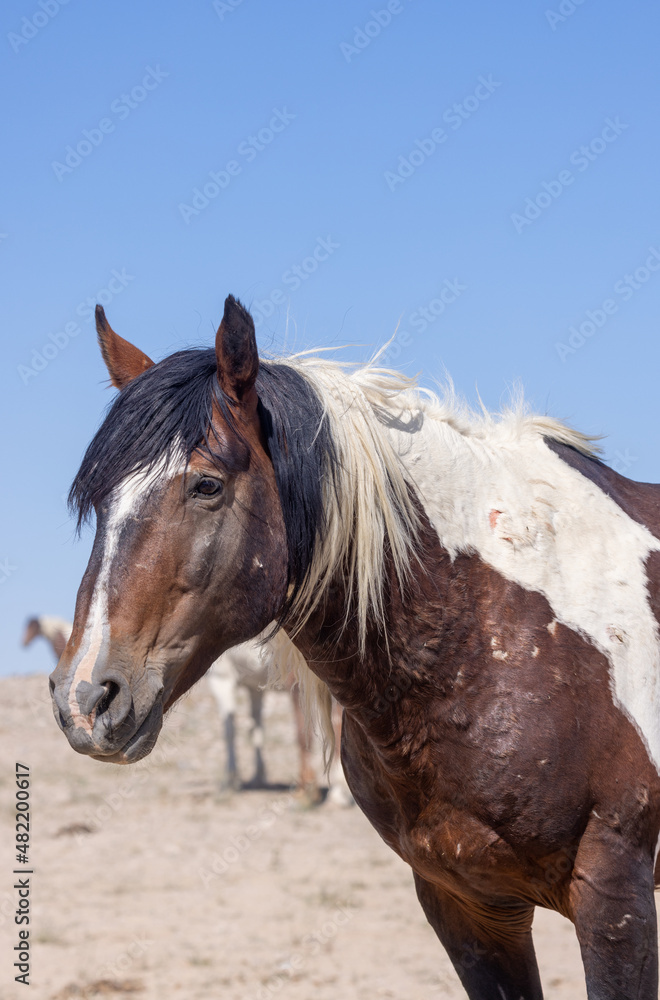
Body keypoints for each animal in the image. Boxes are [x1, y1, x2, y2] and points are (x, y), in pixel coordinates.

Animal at [49, 292, 660, 996]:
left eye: (206, 485)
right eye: (99, 501)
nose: (84, 698)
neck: (491, 635)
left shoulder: (615, 902)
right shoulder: (470, 906)